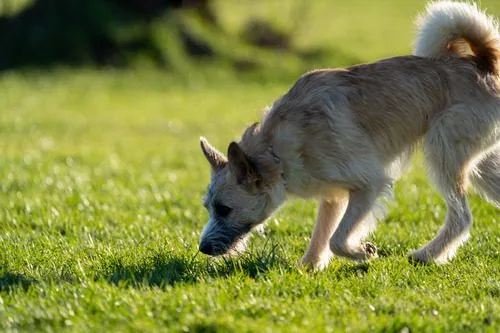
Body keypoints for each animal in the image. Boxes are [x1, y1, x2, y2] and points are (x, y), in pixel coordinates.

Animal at [197, 0, 498, 270]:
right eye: (207, 208)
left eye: (224, 209)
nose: (202, 248)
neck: (275, 153)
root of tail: (483, 63)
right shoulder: (334, 196)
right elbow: (322, 235)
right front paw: (309, 266)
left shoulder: (369, 184)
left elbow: (337, 239)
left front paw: (362, 253)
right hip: (479, 165)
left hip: (444, 153)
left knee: (461, 217)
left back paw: (427, 255)